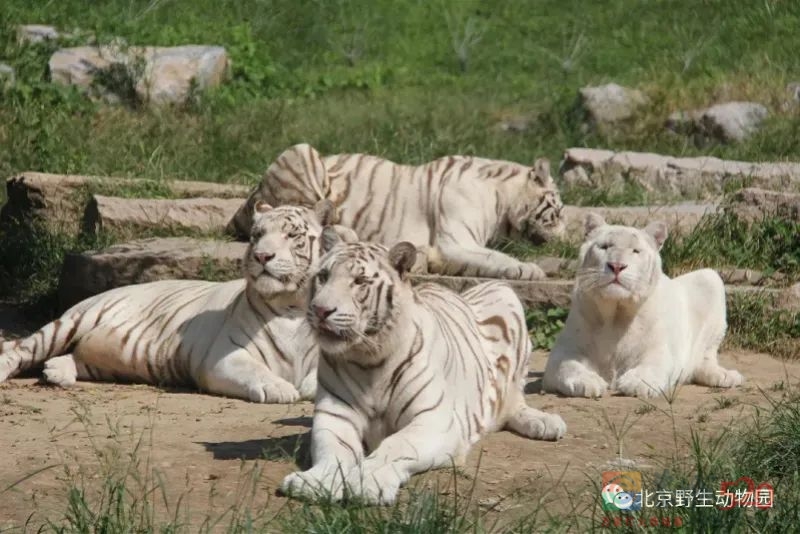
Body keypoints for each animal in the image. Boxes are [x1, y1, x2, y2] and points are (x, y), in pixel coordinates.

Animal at [0, 201, 356, 406]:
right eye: (257, 235)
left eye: (292, 235)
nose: (262, 256)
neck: (290, 306)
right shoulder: (224, 357)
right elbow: (255, 371)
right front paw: (281, 389)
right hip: (73, 320)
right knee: (20, 347)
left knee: (74, 356)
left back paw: (56, 371)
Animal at [225, 144, 564, 282]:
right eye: (558, 213)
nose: (563, 242)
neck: (502, 202)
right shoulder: (455, 240)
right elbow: (495, 257)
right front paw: (530, 270)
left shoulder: (455, 249)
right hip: (302, 152)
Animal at [278, 230, 564, 506]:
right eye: (324, 276)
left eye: (359, 282)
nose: (320, 310)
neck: (368, 357)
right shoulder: (335, 415)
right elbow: (334, 450)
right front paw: (314, 482)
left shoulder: (434, 420)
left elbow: (395, 445)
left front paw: (366, 482)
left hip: (504, 292)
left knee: (514, 400)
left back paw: (545, 423)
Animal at [544, 213, 744, 398]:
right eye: (604, 247)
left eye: (635, 251)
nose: (616, 266)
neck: (616, 314)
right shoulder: (566, 349)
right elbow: (568, 366)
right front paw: (589, 382)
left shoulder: (659, 349)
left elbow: (653, 364)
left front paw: (636, 384)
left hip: (710, 278)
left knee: (706, 357)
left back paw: (725, 376)